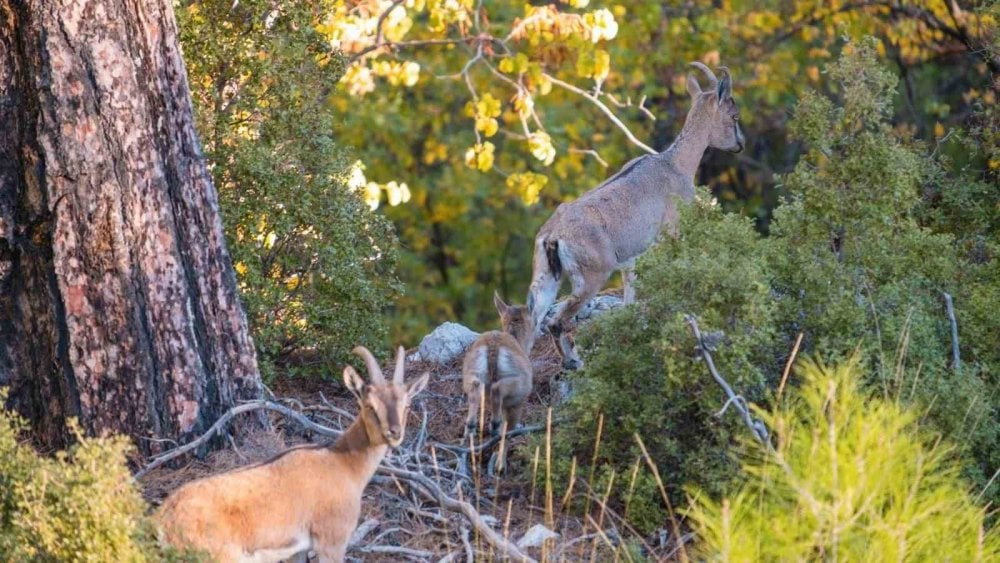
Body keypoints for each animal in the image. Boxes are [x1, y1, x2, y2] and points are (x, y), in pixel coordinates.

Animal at [154, 346, 428, 560]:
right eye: (370, 406)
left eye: (407, 405)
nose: (394, 433)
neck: (343, 464)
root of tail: (164, 519)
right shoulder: (332, 539)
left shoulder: (299, 549)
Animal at [462, 290, 536, 450]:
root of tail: (492, 347)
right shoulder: (517, 403)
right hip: (517, 384)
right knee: (497, 390)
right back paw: (495, 428)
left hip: (472, 374)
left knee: (475, 391)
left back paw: (471, 431)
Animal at [528, 62, 740, 370]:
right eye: (734, 115)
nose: (739, 145)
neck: (675, 165)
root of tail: (554, 235)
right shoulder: (672, 233)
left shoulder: (631, 260)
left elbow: (630, 296)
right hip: (591, 276)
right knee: (556, 321)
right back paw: (573, 360)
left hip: (545, 277)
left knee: (533, 320)